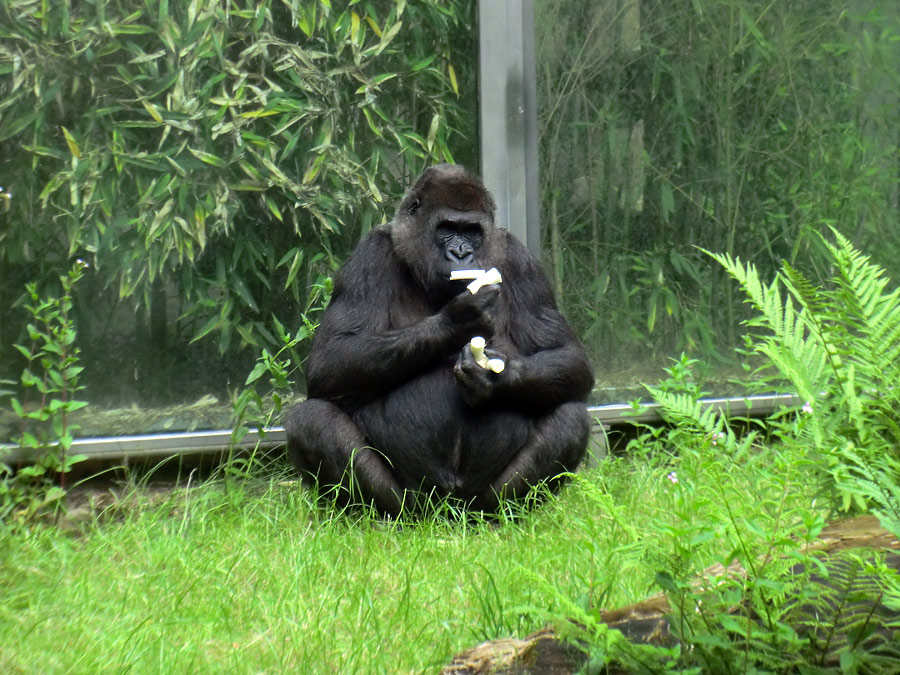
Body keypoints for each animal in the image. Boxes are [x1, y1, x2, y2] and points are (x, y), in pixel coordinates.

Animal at [288, 165, 596, 516]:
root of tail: (448, 512)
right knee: (312, 421)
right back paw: (375, 517)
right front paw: (458, 320)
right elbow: (331, 358)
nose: (462, 253)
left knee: (571, 418)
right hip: (415, 503)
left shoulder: (523, 261)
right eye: (447, 229)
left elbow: (567, 356)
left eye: (472, 231)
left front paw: (495, 379)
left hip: (478, 502)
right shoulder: (368, 255)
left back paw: (503, 516)